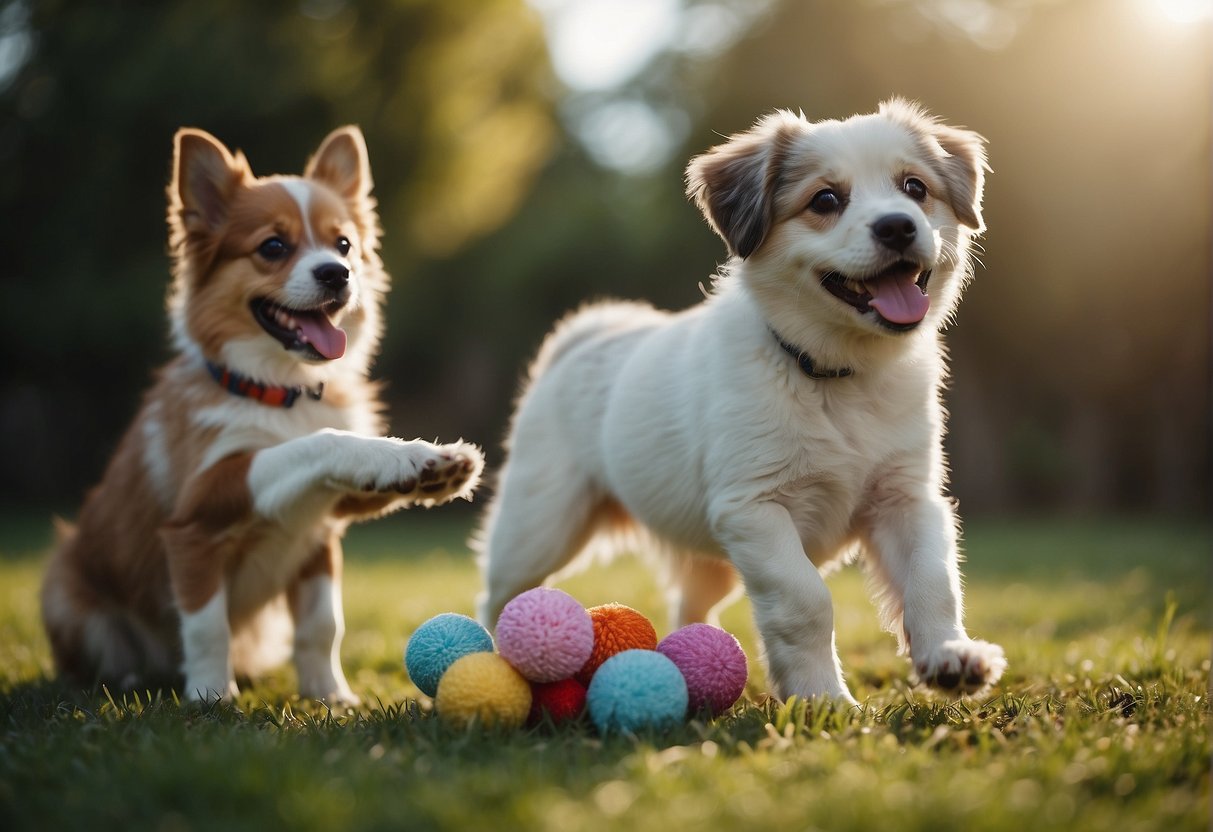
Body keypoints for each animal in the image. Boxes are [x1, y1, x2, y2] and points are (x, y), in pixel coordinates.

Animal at [39, 127, 482, 708]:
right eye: (273, 246)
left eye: (343, 244)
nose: (337, 273)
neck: (282, 390)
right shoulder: (200, 511)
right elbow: (209, 625)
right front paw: (210, 696)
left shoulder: (322, 529)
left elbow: (322, 625)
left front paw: (330, 696)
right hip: (65, 592)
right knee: (95, 661)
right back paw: (135, 680)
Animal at [473, 101, 1004, 708]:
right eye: (825, 200)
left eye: (915, 188)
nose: (898, 225)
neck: (835, 376)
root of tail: (586, 336)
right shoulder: (756, 508)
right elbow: (805, 600)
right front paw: (824, 698)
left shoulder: (906, 499)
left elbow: (932, 580)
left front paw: (949, 656)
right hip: (540, 524)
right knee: (500, 596)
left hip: (708, 557)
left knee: (688, 605)